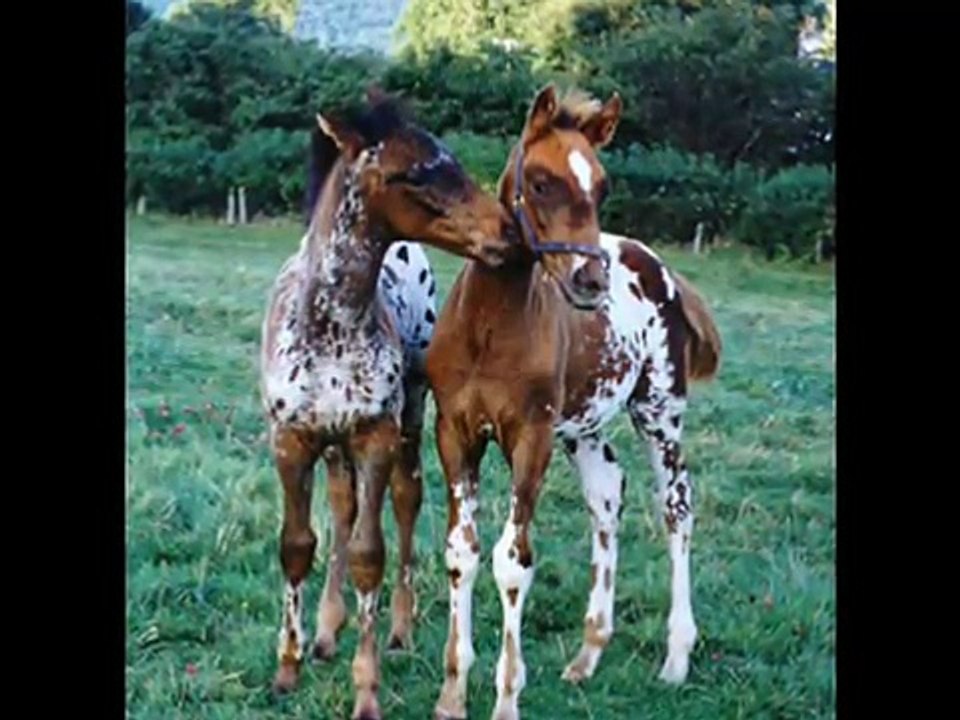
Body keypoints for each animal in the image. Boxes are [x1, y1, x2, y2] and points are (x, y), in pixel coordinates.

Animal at [259, 92, 514, 720]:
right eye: (413, 173)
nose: (506, 230)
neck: (331, 327)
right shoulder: (292, 441)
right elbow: (298, 545)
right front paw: (287, 668)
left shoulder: (375, 435)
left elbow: (368, 553)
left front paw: (367, 692)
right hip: (334, 447)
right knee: (341, 506)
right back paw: (327, 632)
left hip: (410, 419)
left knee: (405, 499)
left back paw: (398, 630)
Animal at [425, 85, 722, 720]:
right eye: (539, 181)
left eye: (602, 187)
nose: (590, 281)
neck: (490, 329)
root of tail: (660, 267)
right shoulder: (455, 432)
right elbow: (462, 552)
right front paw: (452, 694)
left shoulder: (530, 437)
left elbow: (513, 561)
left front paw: (507, 698)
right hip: (584, 429)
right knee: (606, 498)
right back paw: (589, 653)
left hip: (659, 413)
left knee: (676, 506)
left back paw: (676, 658)